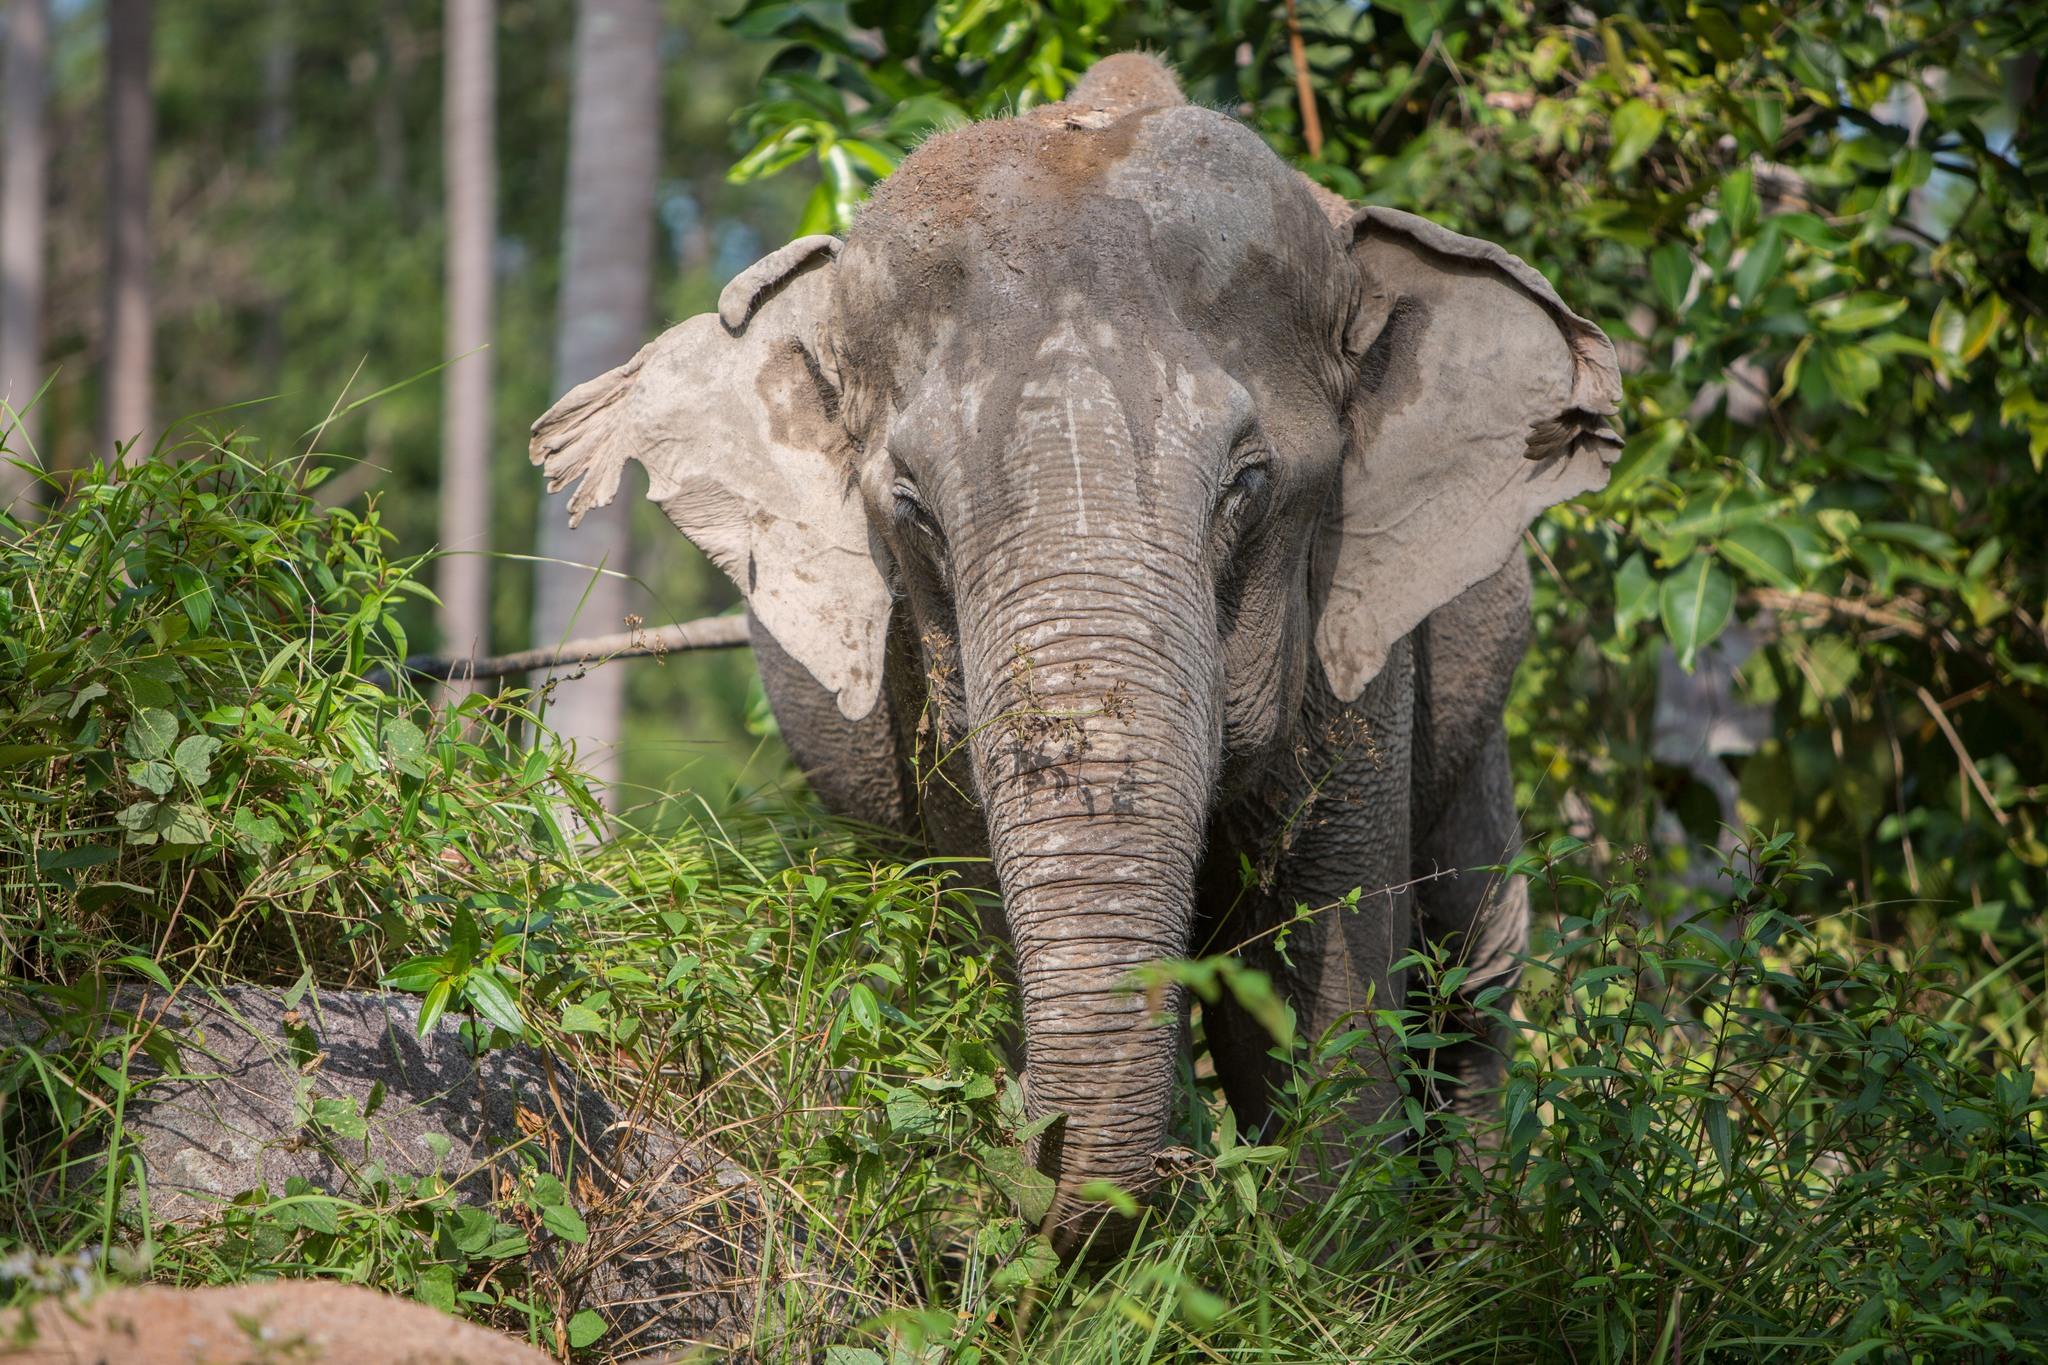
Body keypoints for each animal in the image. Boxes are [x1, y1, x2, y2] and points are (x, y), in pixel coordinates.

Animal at [531, 52, 1621, 1252]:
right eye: (910, 508)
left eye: (1247, 485)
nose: (1019, 1169)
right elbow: (985, 907)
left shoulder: (1357, 641)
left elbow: (1313, 955)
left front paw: (1327, 1245)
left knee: (1472, 964)